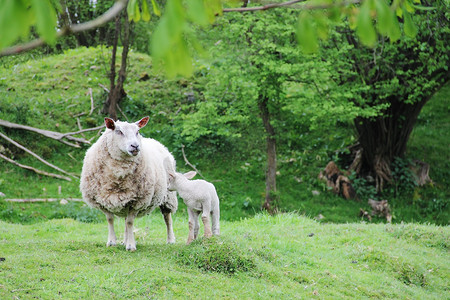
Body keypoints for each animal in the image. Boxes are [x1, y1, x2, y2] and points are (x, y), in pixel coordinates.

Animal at [80, 117, 178, 251]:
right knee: (126, 220)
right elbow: (110, 219)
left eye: (137, 131)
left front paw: (131, 246)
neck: (118, 174)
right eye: (118, 131)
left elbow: (130, 222)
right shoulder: (102, 200)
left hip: (167, 196)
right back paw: (124, 241)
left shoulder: (137, 201)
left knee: (167, 218)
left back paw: (170, 240)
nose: (135, 146)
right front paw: (112, 242)